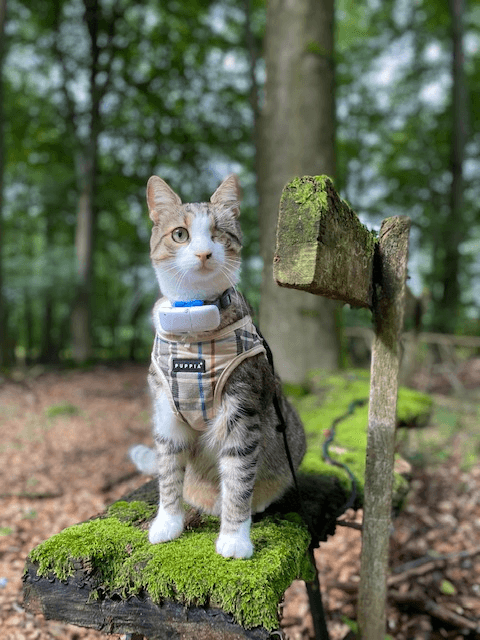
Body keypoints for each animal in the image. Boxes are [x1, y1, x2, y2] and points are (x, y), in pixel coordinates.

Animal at [129, 172, 306, 556]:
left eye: (218, 233)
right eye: (180, 234)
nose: (203, 252)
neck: (193, 324)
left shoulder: (242, 407)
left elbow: (238, 475)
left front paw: (235, 538)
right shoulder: (165, 409)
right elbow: (168, 470)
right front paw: (168, 523)